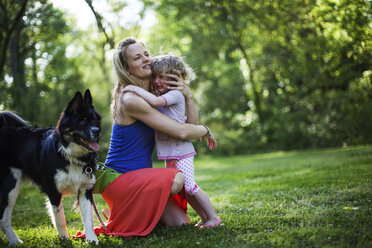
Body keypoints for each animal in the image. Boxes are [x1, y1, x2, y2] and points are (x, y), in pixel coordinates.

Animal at [0, 89, 101, 244]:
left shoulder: (85, 190)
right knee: (3, 218)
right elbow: (60, 220)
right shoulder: (54, 192)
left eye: (95, 120)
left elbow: (89, 220)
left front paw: (91, 239)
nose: (97, 131)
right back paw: (15, 241)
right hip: (10, 185)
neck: (69, 156)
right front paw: (64, 240)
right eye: (83, 120)